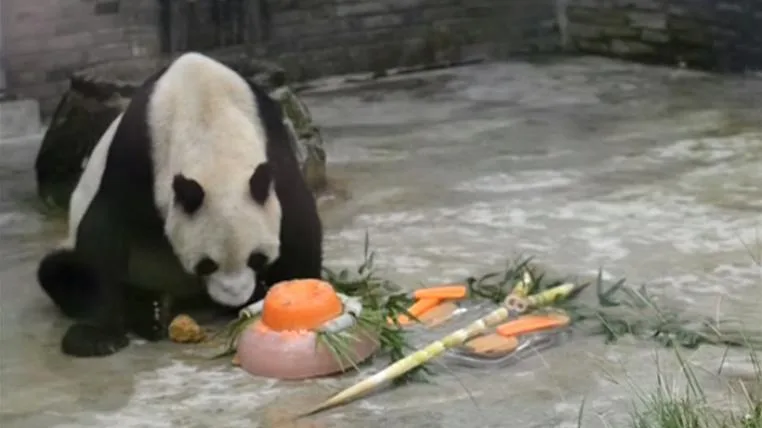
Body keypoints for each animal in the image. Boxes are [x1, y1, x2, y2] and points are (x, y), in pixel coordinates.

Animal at [36, 52, 323, 358]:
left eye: (256, 258)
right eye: (206, 264)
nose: (233, 298)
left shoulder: (271, 145)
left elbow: (298, 222)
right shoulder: (137, 155)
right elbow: (103, 232)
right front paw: (96, 336)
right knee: (59, 272)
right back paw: (148, 312)